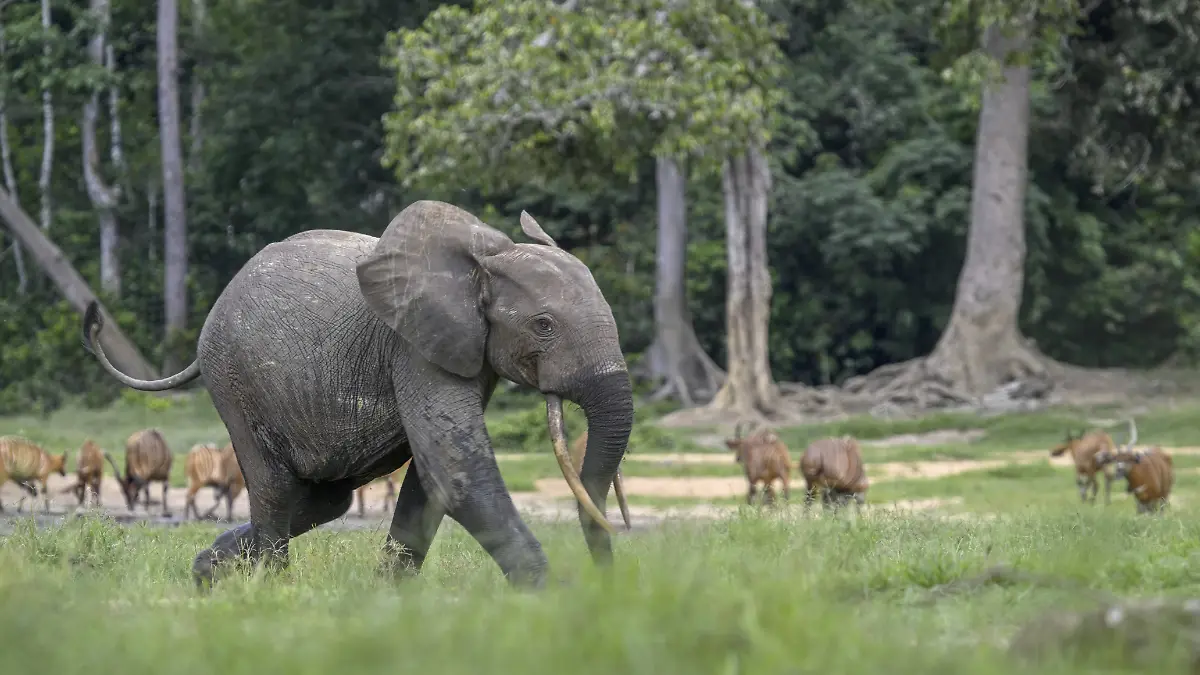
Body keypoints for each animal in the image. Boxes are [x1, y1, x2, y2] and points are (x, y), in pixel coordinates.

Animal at [82, 200, 634, 589]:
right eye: (544, 326)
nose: (611, 586)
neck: (483, 260)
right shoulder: (412, 346)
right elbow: (454, 469)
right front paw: (552, 599)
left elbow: (430, 481)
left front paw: (390, 597)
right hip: (235, 380)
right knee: (276, 490)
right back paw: (270, 590)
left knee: (326, 500)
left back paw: (206, 572)